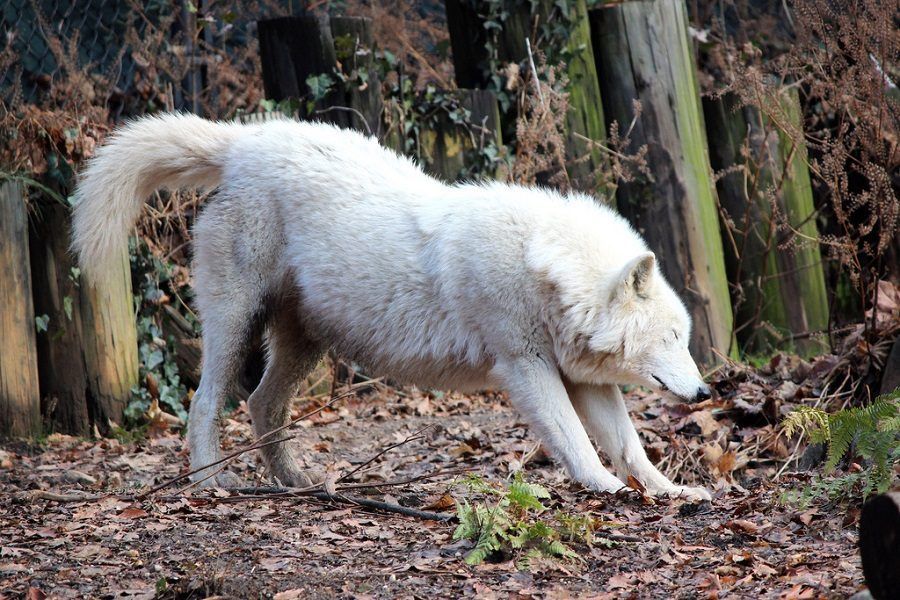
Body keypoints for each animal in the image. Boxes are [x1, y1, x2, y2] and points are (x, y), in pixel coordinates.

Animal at [72, 112, 712, 502]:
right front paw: (605, 487)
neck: (544, 267)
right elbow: (576, 440)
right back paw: (212, 482)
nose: (706, 393)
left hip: (304, 344)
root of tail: (244, 142)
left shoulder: (585, 380)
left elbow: (630, 444)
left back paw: (300, 482)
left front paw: (669, 491)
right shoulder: (527, 368)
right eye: (672, 339)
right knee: (207, 402)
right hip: (235, 325)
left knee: (260, 405)